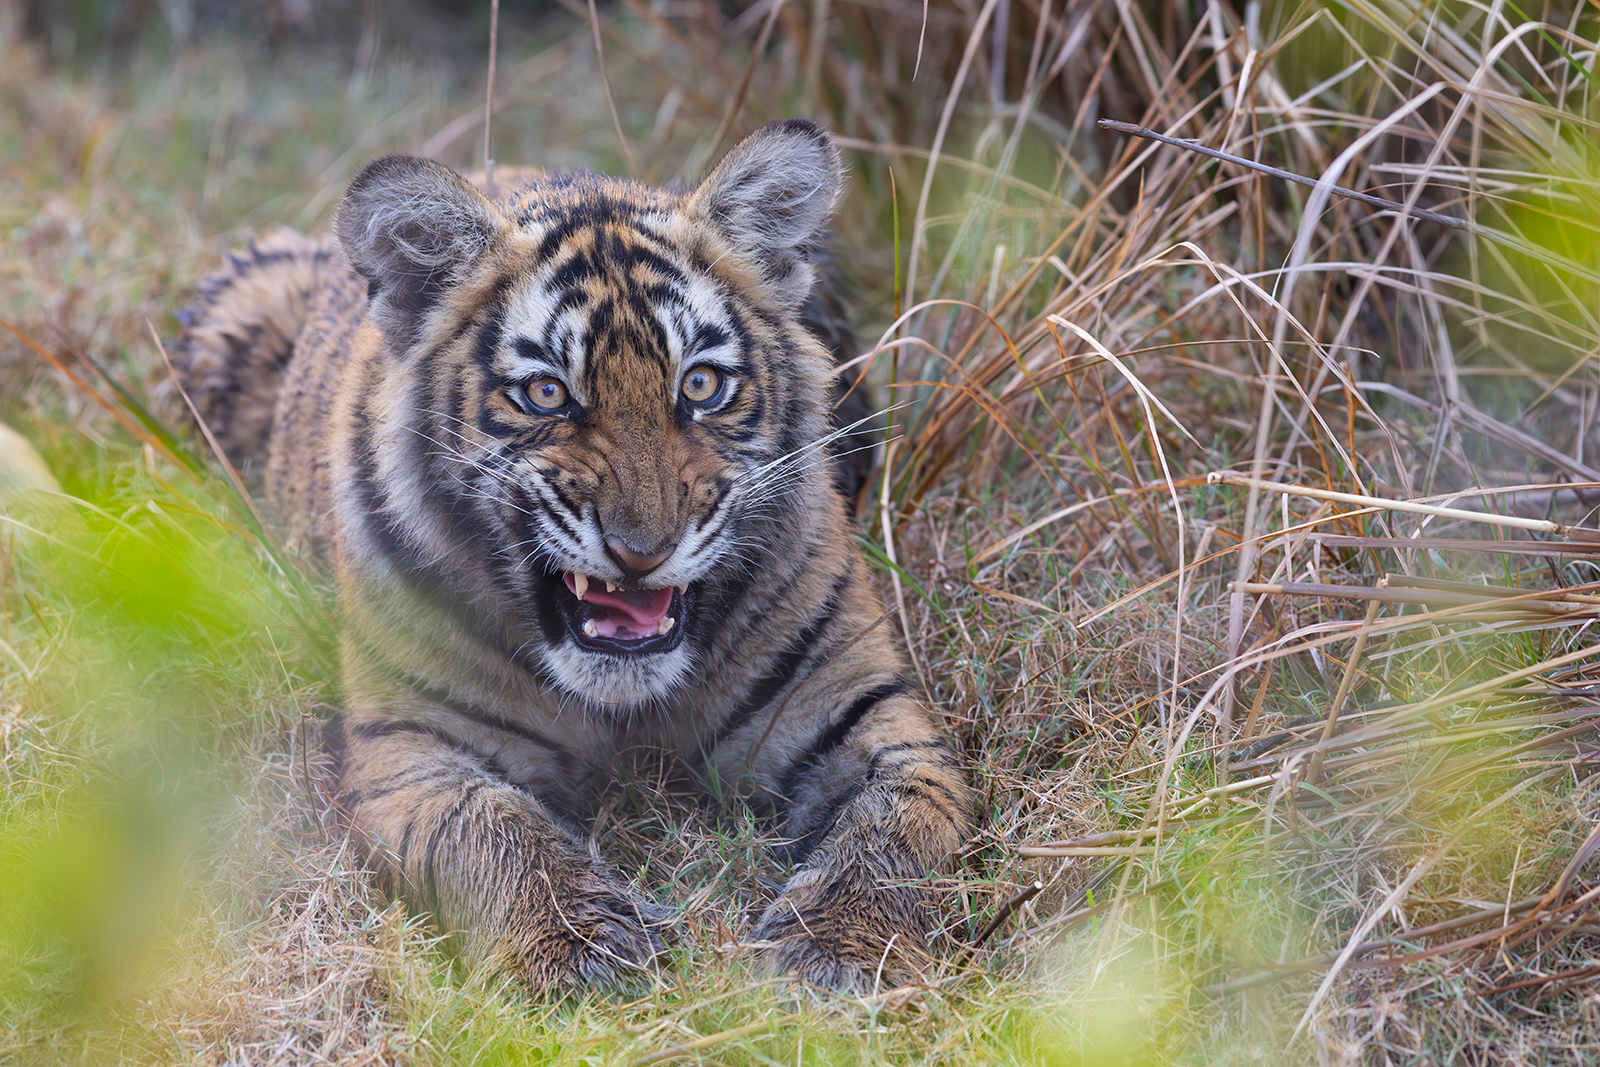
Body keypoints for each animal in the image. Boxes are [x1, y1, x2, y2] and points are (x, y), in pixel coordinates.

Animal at [174, 119, 972, 992]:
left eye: (701, 385)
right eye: (546, 393)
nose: (641, 551)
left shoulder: (864, 708)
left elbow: (897, 827)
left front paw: (836, 950)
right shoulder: (414, 743)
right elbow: (493, 830)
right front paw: (580, 948)